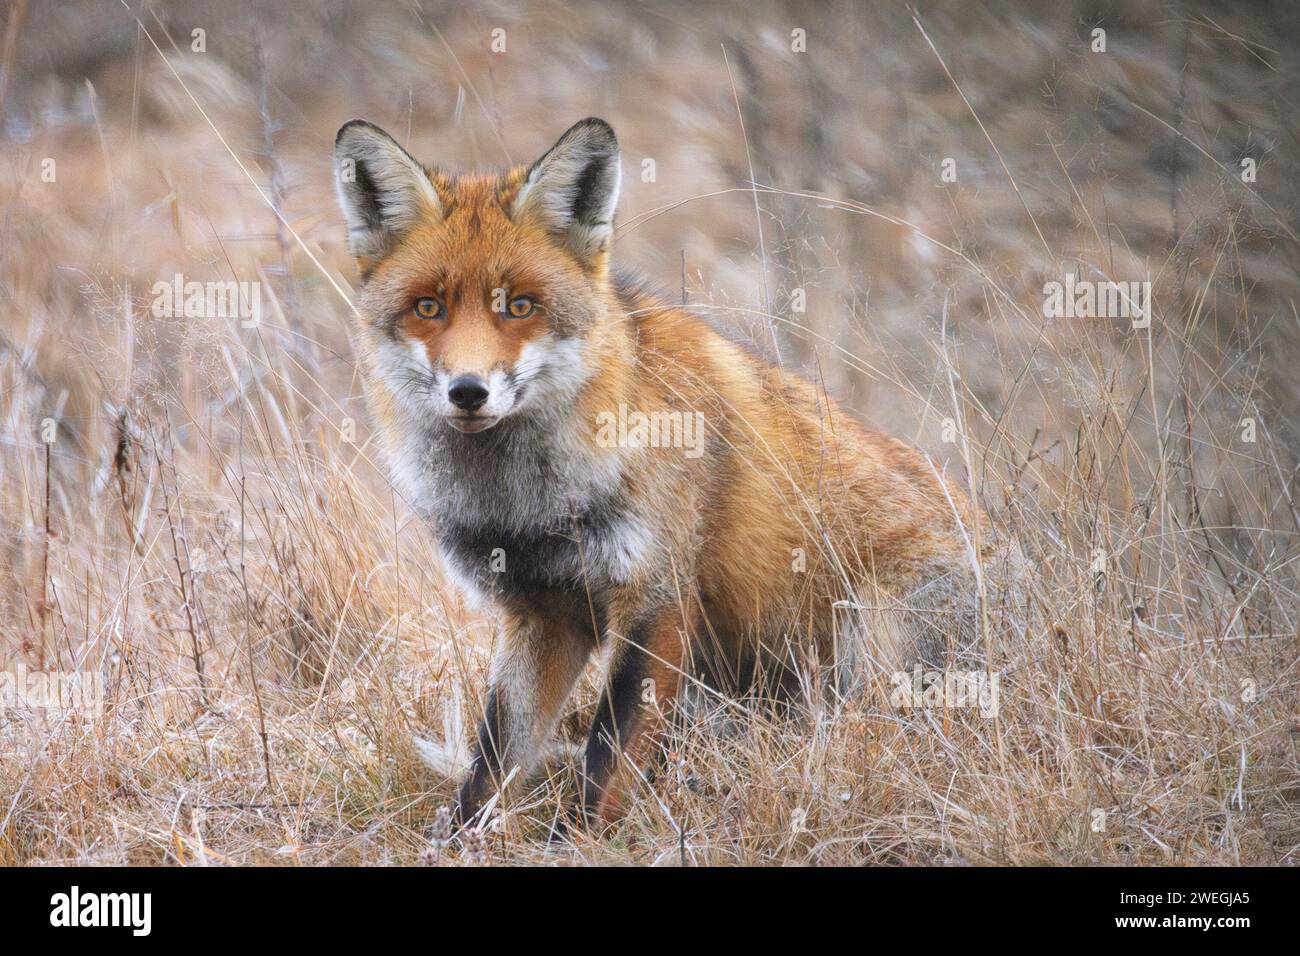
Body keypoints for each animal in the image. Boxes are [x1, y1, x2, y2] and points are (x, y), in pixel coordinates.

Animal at [332, 113, 993, 832]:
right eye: (429, 308)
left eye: (521, 307)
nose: (468, 391)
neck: (530, 502)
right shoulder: (542, 612)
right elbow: (491, 762)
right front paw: (462, 842)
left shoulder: (656, 597)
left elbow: (606, 757)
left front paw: (581, 842)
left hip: (870, 642)